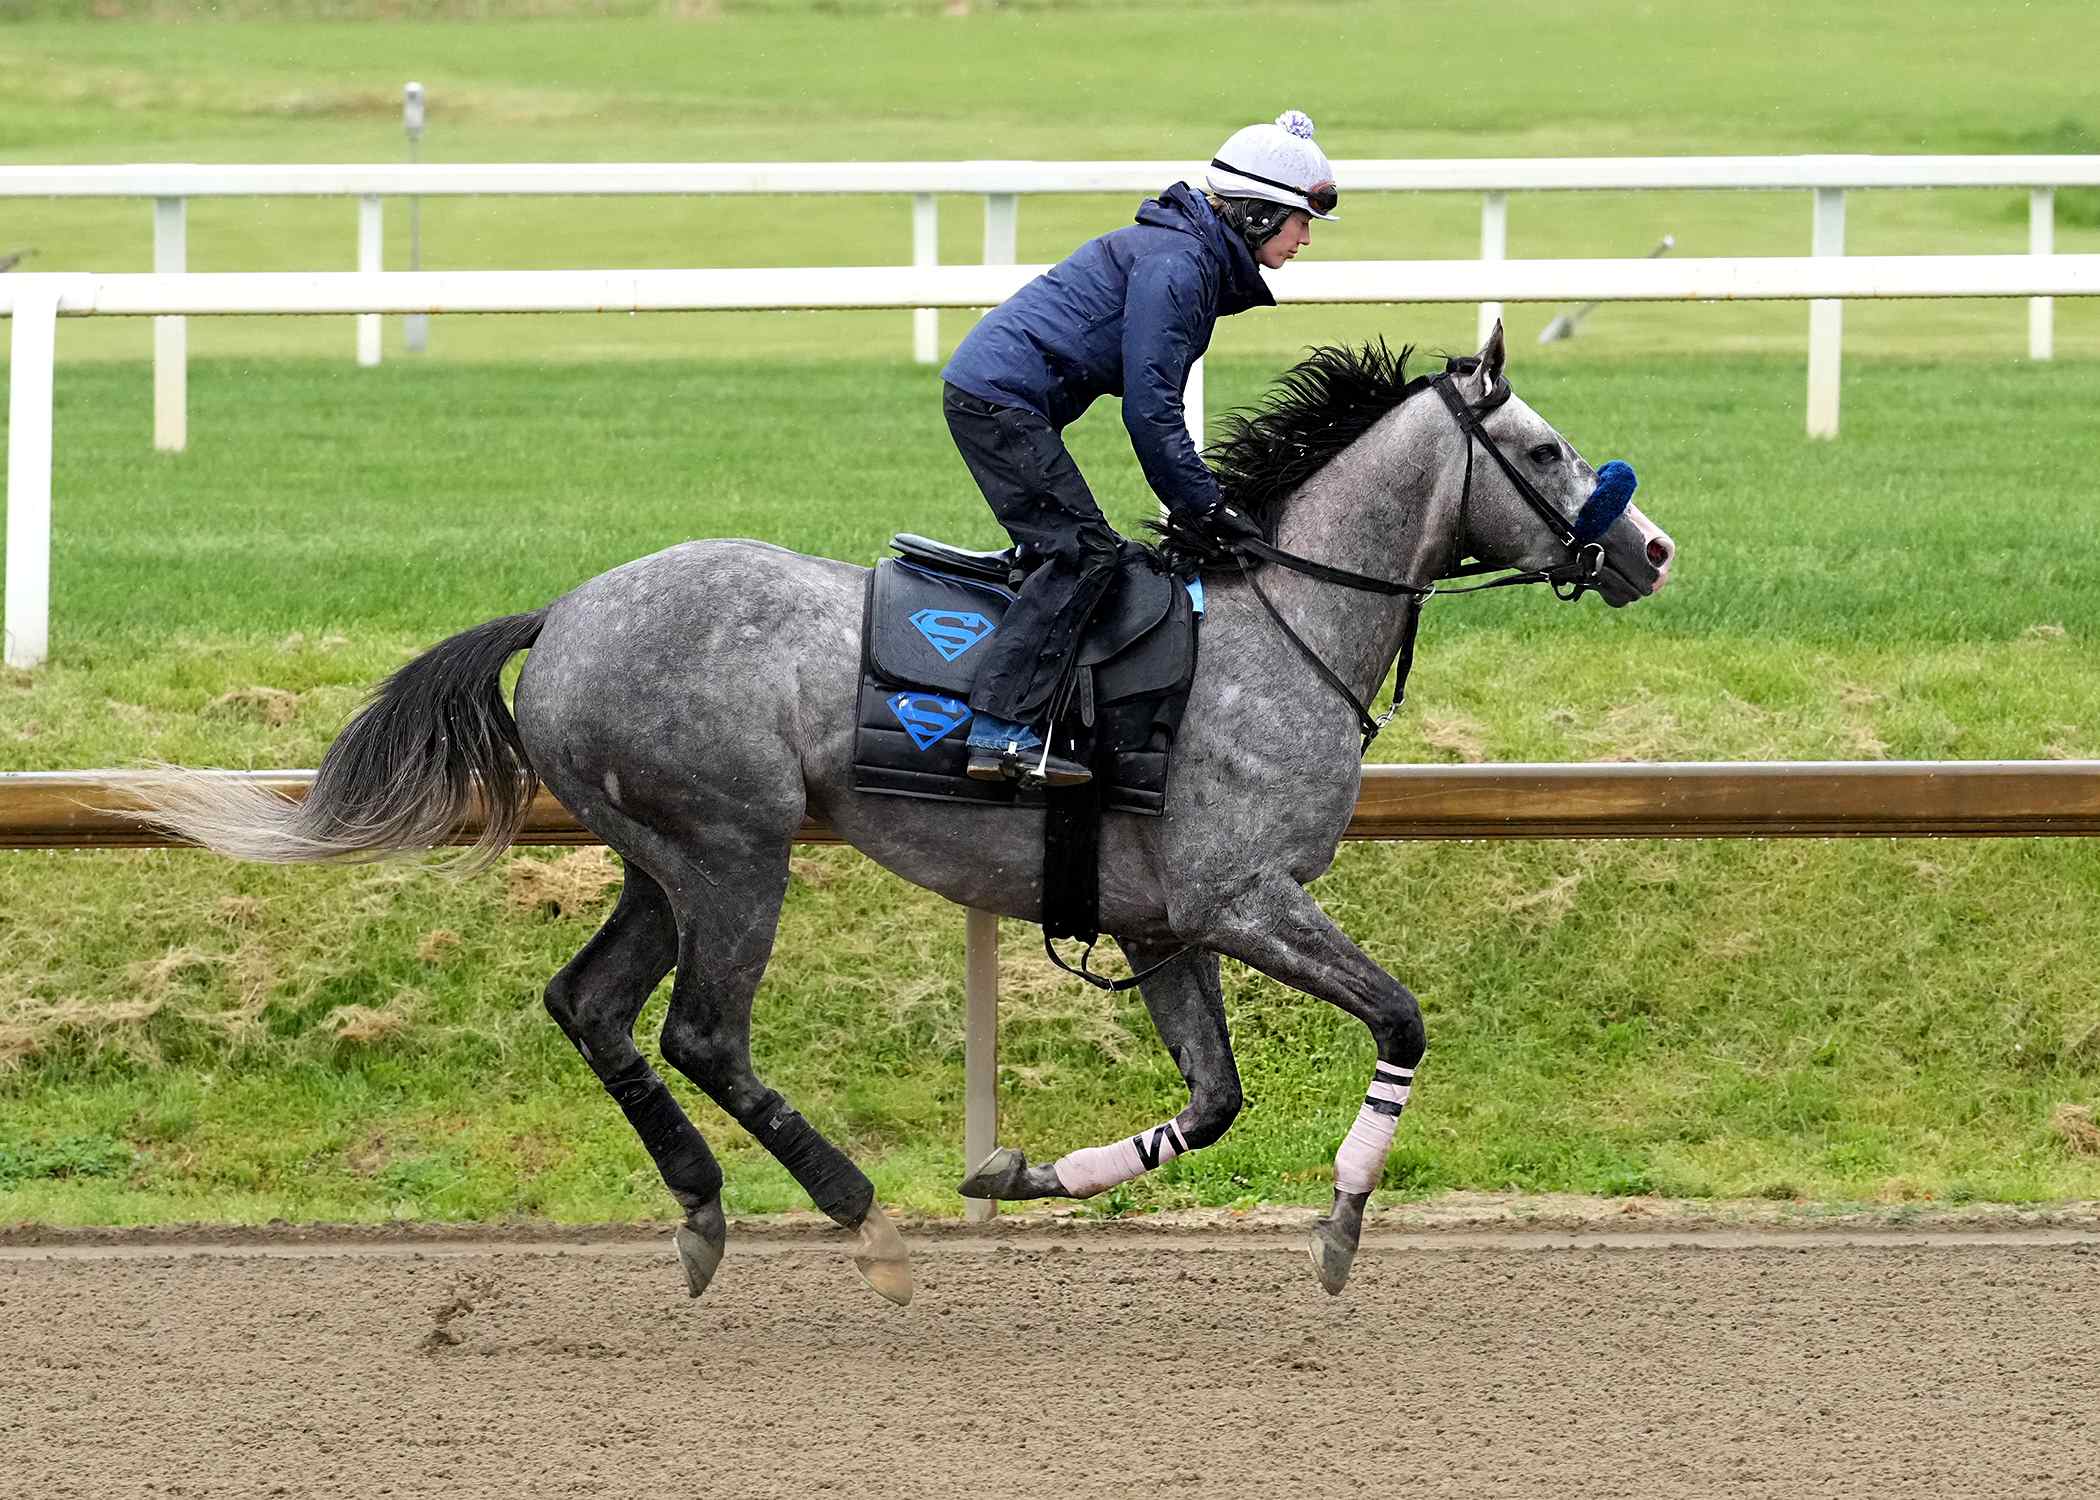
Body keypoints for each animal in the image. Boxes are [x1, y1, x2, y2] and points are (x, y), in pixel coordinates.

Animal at [132, 322, 1675, 1305]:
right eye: (1544, 448)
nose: (1651, 549)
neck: (1276, 627)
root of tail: (560, 614)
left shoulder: (1164, 923)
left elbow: (1212, 1100)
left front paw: (1022, 1170)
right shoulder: (1244, 899)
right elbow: (1402, 1021)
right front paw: (1344, 1220)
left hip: (657, 861)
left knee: (590, 1008)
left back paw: (703, 1211)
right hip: (734, 852)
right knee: (701, 1033)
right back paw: (860, 1218)